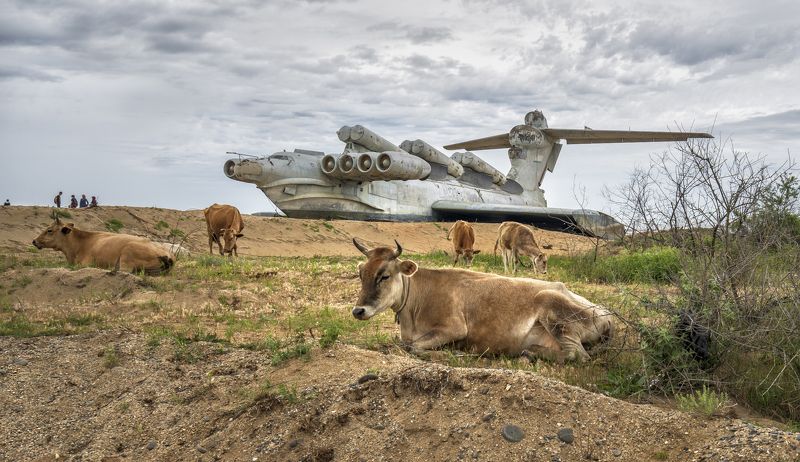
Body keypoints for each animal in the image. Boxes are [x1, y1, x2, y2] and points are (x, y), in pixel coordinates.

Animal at [350, 240, 612, 362]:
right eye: (361, 273)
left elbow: (413, 346)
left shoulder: (455, 328)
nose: (358, 311)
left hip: (553, 309)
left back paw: (529, 353)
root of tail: (606, 313)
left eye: (384, 275)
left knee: (577, 354)